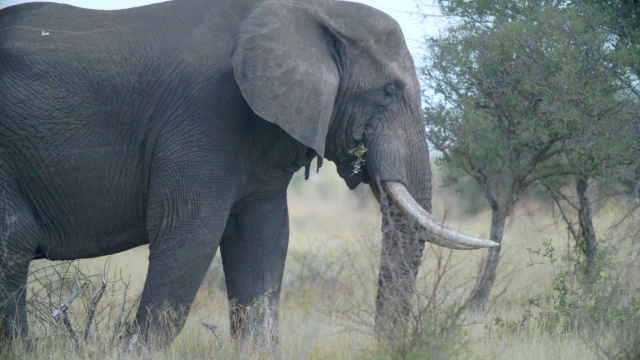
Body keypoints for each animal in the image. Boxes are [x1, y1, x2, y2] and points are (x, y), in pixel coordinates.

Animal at [0, 0, 496, 346]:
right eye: (388, 92)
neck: (308, 11)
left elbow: (262, 238)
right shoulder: (205, 113)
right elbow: (189, 233)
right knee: (13, 247)